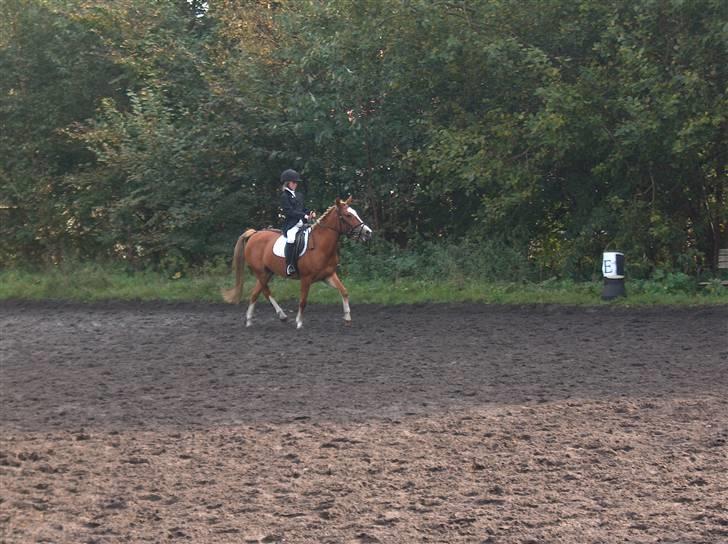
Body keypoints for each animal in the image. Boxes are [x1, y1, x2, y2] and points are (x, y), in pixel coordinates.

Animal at [222, 198, 372, 330]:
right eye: (348, 215)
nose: (368, 232)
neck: (321, 245)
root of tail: (254, 234)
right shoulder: (306, 278)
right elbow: (303, 301)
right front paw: (299, 322)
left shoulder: (328, 275)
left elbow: (344, 291)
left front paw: (347, 318)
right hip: (262, 273)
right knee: (263, 291)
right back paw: (275, 316)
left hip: (267, 272)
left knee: (257, 293)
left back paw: (258, 319)